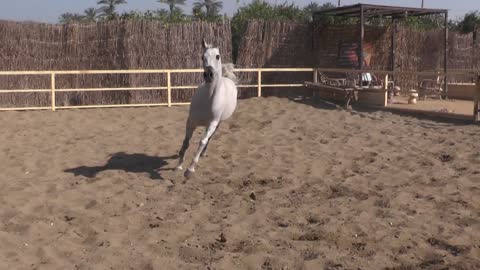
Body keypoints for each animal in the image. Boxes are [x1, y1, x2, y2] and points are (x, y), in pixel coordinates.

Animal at [174, 39, 238, 178]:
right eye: (202, 57)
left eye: (218, 56)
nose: (209, 74)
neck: (208, 100)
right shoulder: (191, 122)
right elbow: (186, 142)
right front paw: (179, 165)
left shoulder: (212, 124)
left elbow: (202, 141)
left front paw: (190, 169)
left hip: (218, 123)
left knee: (209, 138)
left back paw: (203, 153)